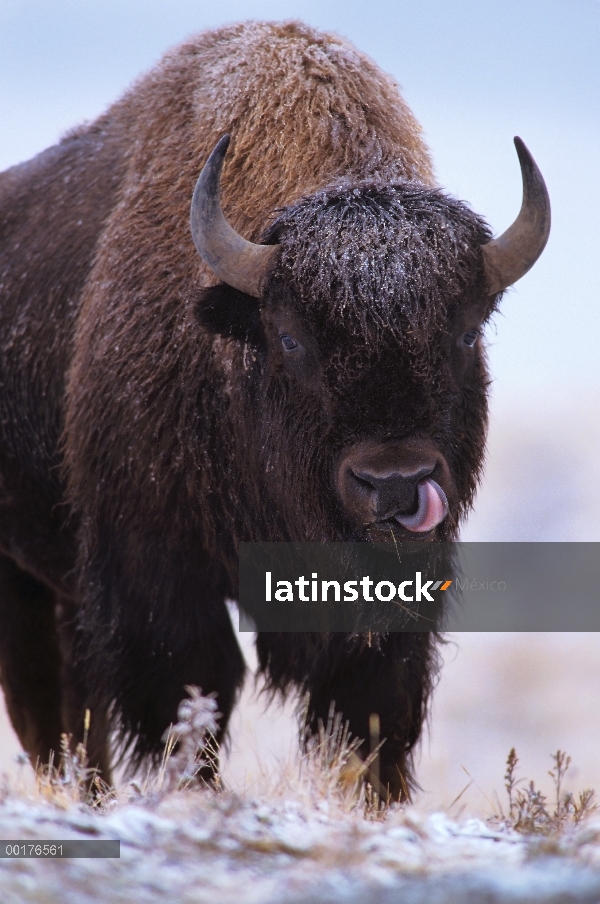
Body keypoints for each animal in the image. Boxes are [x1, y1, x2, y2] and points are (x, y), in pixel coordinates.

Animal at [0, 21, 548, 800]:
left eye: (467, 332)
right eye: (290, 337)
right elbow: (193, 686)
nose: (395, 484)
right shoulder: (158, 571)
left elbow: (369, 710)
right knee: (49, 710)